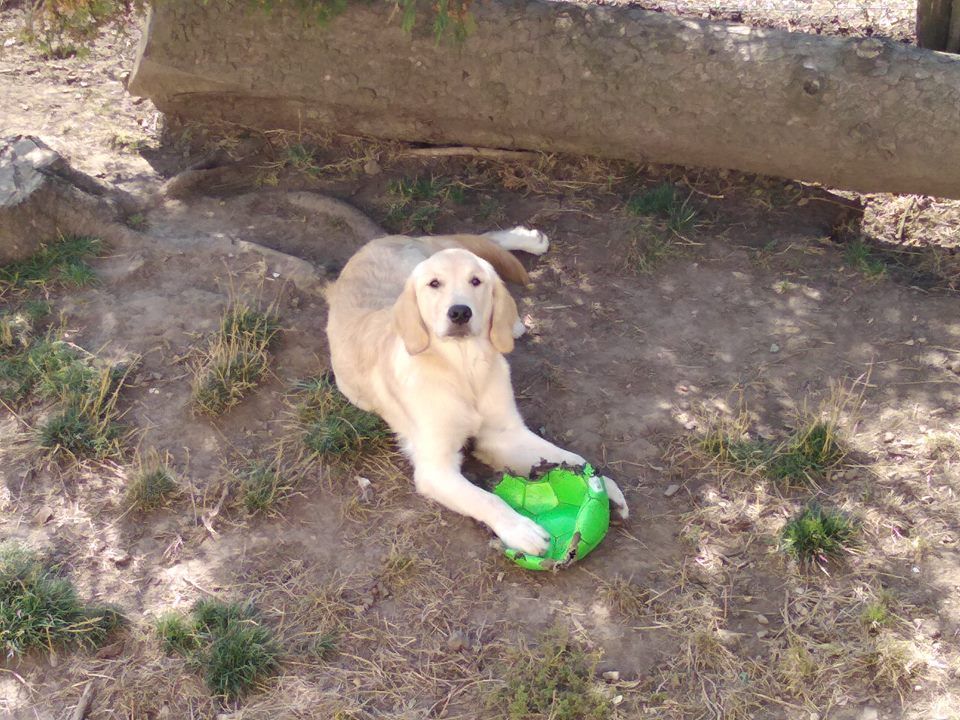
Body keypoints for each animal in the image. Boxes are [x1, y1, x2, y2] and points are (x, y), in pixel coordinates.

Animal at [326, 228, 632, 556]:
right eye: (434, 284)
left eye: (476, 281)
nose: (460, 312)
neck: (464, 369)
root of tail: (376, 243)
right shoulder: (436, 468)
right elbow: (486, 498)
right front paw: (520, 529)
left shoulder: (504, 434)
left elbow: (570, 457)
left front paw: (604, 487)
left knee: (480, 240)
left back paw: (524, 261)